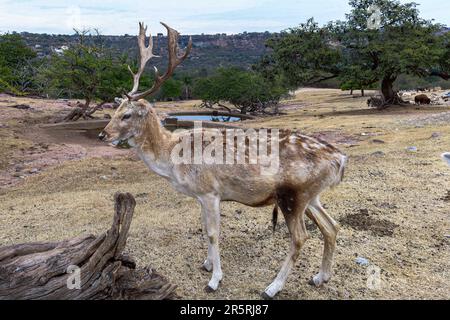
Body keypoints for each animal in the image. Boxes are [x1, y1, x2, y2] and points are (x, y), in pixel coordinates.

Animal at [100, 21, 348, 298]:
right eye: (114, 111)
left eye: (127, 115)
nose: (102, 134)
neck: (174, 160)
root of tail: (340, 159)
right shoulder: (200, 195)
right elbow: (203, 226)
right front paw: (207, 264)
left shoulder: (210, 191)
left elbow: (212, 233)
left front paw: (214, 280)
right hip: (312, 196)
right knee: (332, 226)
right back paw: (320, 277)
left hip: (293, 195)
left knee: (300, 237)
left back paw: (272, 287)